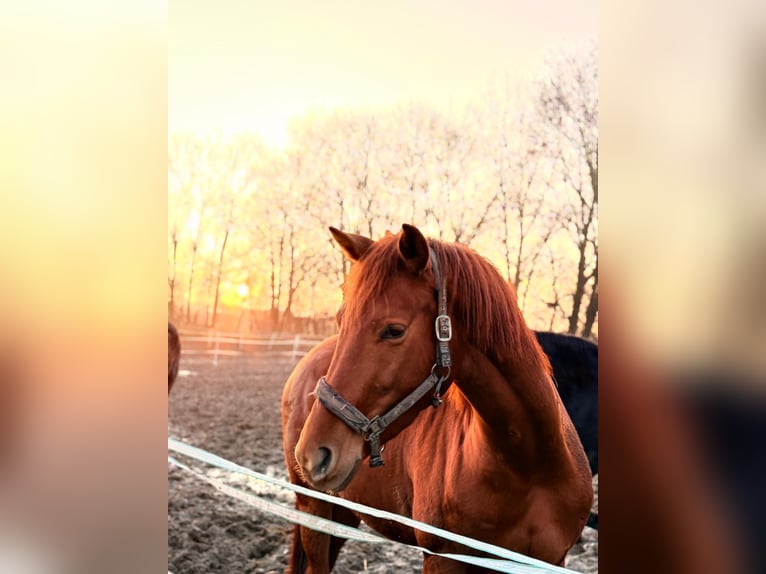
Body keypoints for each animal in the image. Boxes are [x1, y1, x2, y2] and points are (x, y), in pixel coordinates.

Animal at [281, 224, 593, 573]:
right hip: (314, 508)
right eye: (340, 322)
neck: (529, 465)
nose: (312, 454)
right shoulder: (442, 558)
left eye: (394, 330)